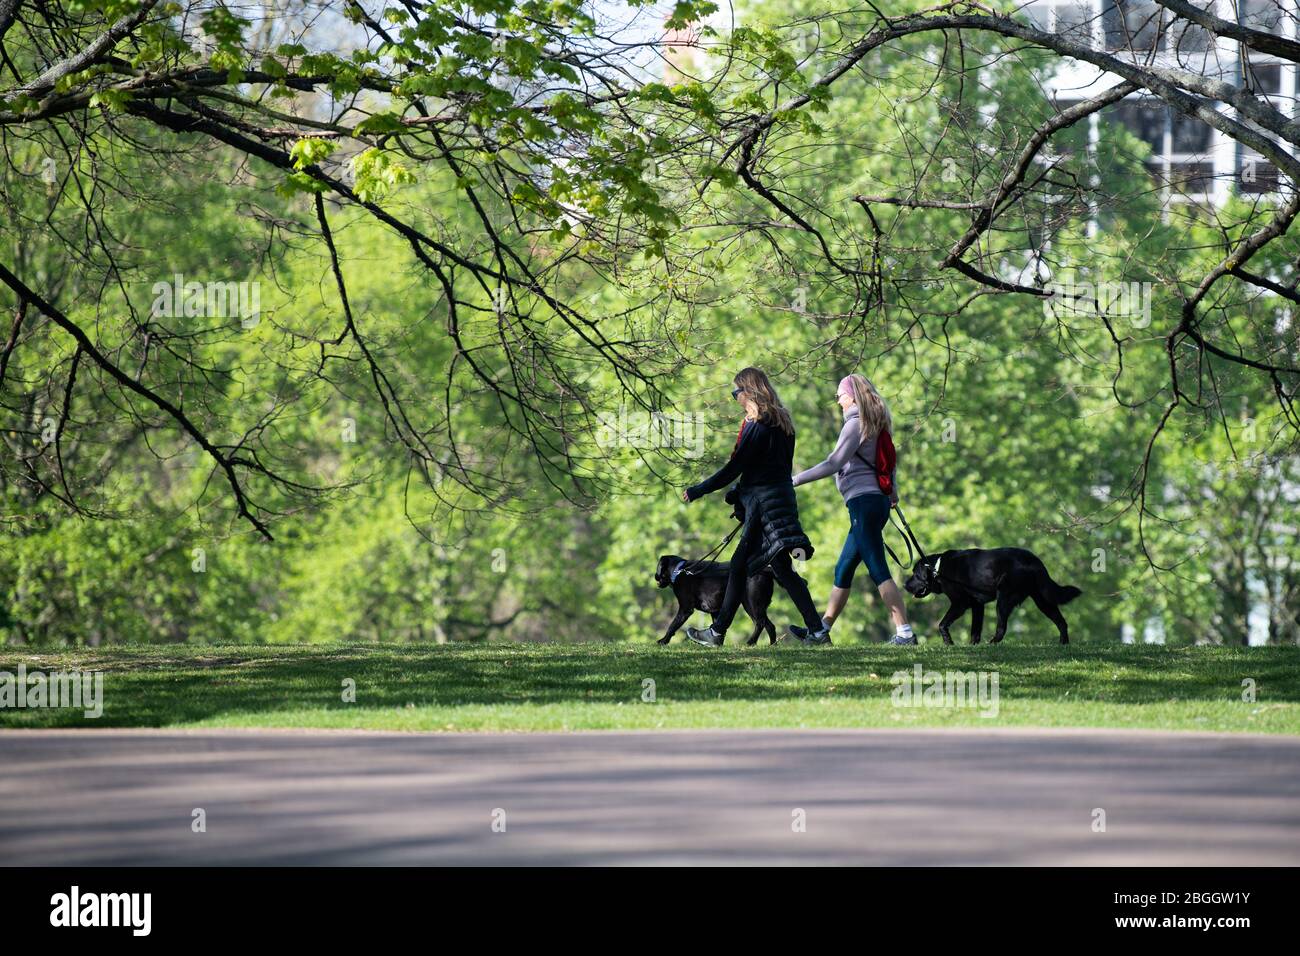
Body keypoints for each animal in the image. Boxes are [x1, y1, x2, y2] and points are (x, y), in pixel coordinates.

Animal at [904, 548, 1076, 647]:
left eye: (915, 574)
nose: (905, 585)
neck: (937, 569)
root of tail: (1034, 560)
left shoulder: (960, 603)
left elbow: (942, 624)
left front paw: (949, 642)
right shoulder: (977, 606)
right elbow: (975, 630)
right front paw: (973, 645)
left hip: (1004, 599)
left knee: (1002, 628)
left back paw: (992, 643)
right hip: (1043, 600)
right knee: (1061, 622)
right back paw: (1063, 644)